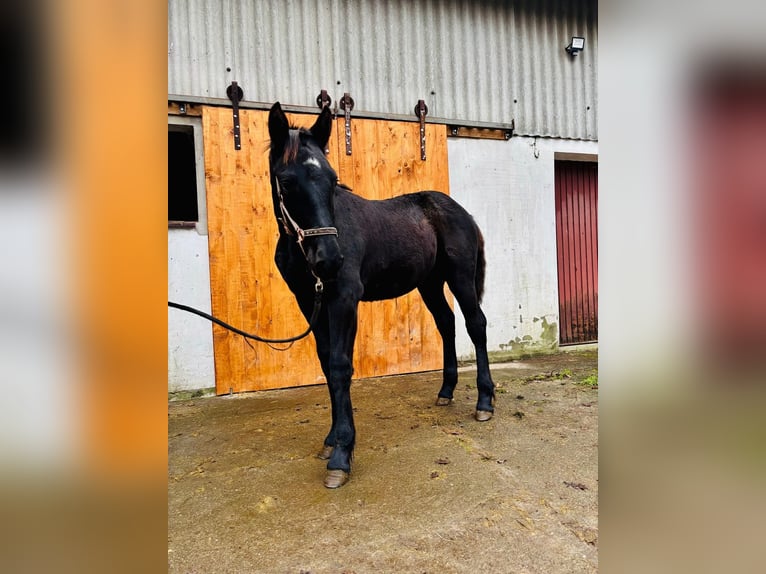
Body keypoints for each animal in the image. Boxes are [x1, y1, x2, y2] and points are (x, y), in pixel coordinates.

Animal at [267, 102, 495, 488]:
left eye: (332, 180)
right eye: (286, 181)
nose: (330, 260)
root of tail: (462, 211)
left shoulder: (343, 299)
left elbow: (341, 366)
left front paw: (342, 455)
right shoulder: (309, 301)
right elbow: (327, 364)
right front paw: (331, 441)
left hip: (460, 278)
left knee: (475, 324)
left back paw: (485, 402)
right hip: (429, 283)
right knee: (446, 323)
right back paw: (445, 391)